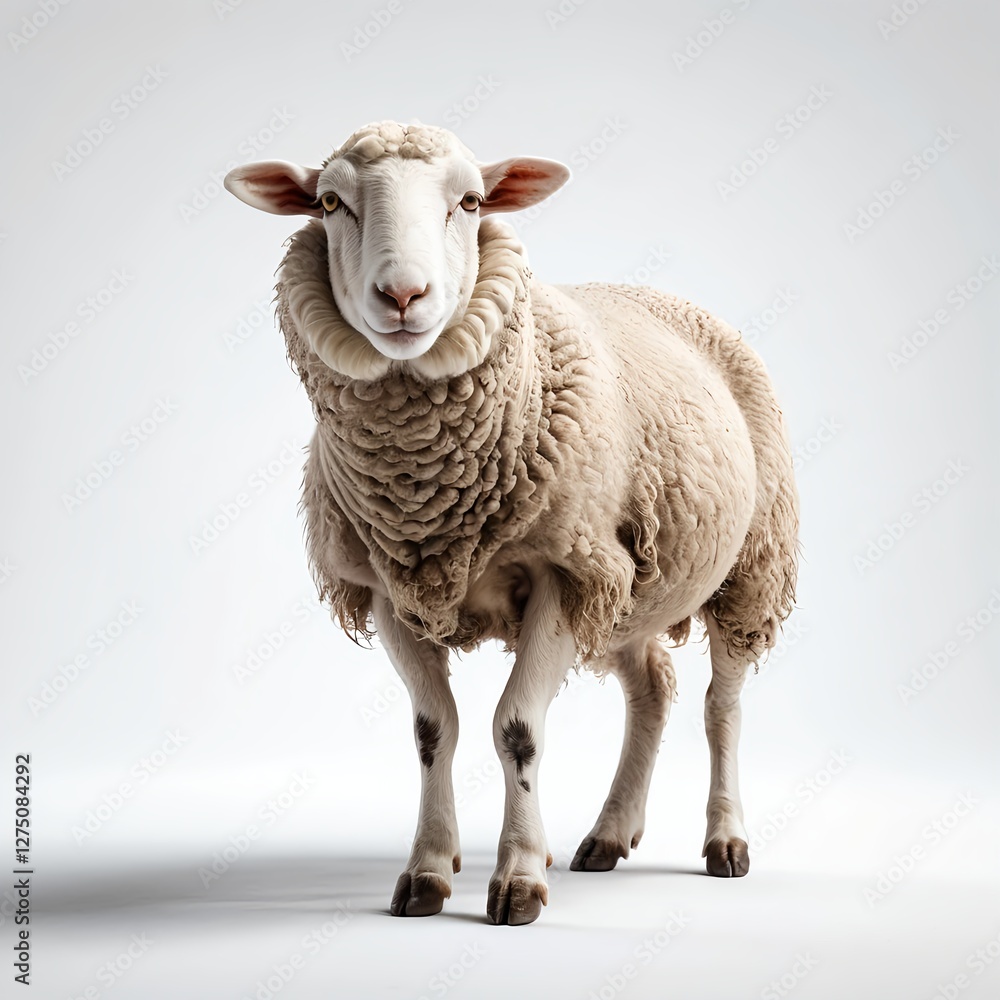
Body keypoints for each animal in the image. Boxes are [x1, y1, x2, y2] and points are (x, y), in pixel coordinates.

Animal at [224, 120, 799, 926]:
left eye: (470, 201)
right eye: (331, 203)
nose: (403, 294)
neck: (427, 488)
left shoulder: (560, 571)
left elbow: (517, 730)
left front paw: (519, 878)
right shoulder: (391, 589)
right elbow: (434, 732)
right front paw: (428, 872)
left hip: (748, 562)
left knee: (724, 705)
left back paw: (725, 841)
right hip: (627, 582)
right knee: (652, 688)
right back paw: (608, 834)